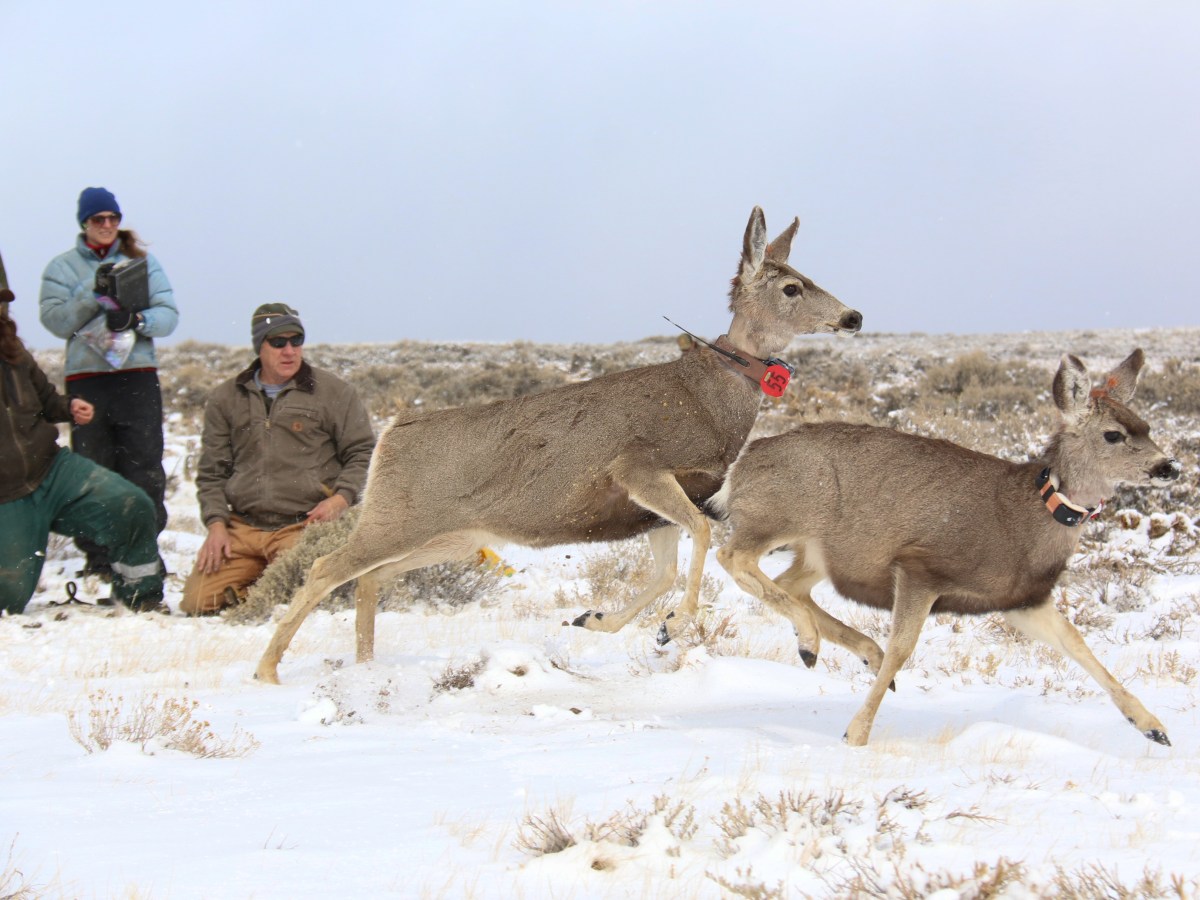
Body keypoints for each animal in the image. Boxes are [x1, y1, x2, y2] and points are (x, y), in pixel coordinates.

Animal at [254, 207, 863, 683]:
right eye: (791, 287)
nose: (853, 315)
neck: (708, 397)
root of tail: (389, 437)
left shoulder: (656, 510)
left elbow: (667, 567)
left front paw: (606, 621)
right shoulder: (638, 466)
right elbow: (703, 535)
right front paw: (688, 626)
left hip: (452, 534)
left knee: (370, 577)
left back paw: (365, 666)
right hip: (396, 518)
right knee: (326, 566)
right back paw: (268, 670)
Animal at [712, 349, 1182, 746]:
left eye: (1146, 425)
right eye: (1113, 435)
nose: (1170, 466)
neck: (1025, 520)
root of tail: (741, 463)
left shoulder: (1021, 598)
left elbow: (1076, 641)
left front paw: (1153, 726)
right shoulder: (921, 567)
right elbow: (903, 649)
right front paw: (856, 735)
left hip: (819, 552)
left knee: (789, 584)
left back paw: (845, 648)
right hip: (778, 516)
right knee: (732, 556)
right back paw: (812, 642)